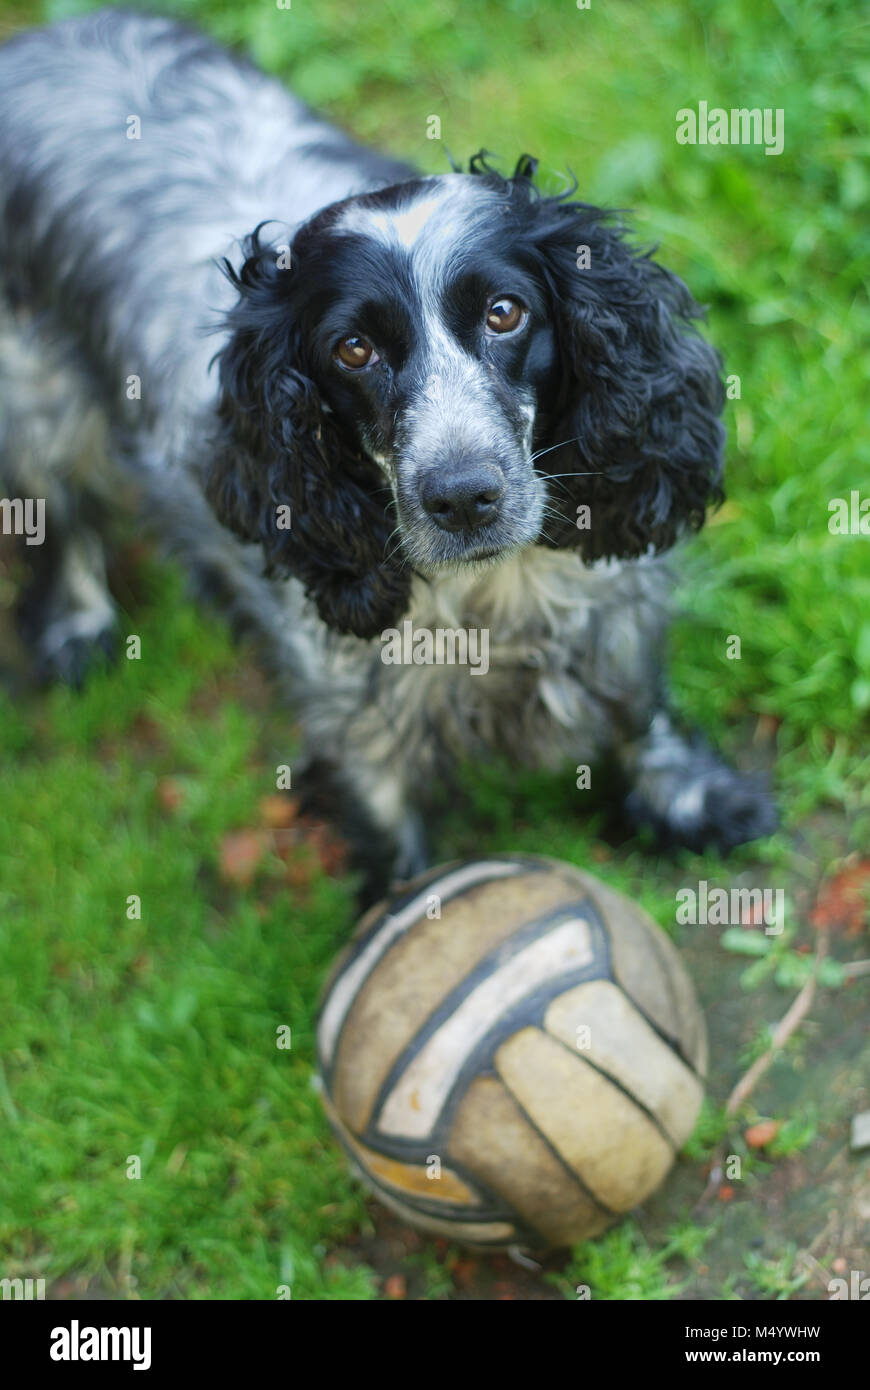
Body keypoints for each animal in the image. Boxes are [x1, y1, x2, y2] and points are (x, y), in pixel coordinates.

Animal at [0, 10, 772, 900]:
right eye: (354, 349)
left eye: (505, 312)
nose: (463, 497)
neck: (494, 598)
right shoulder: (358, 713)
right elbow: (392, 834)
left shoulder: (616, 610)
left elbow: (641, 709)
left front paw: (691, 800)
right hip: (34, 398)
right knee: (57, 512)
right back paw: (76, 625)